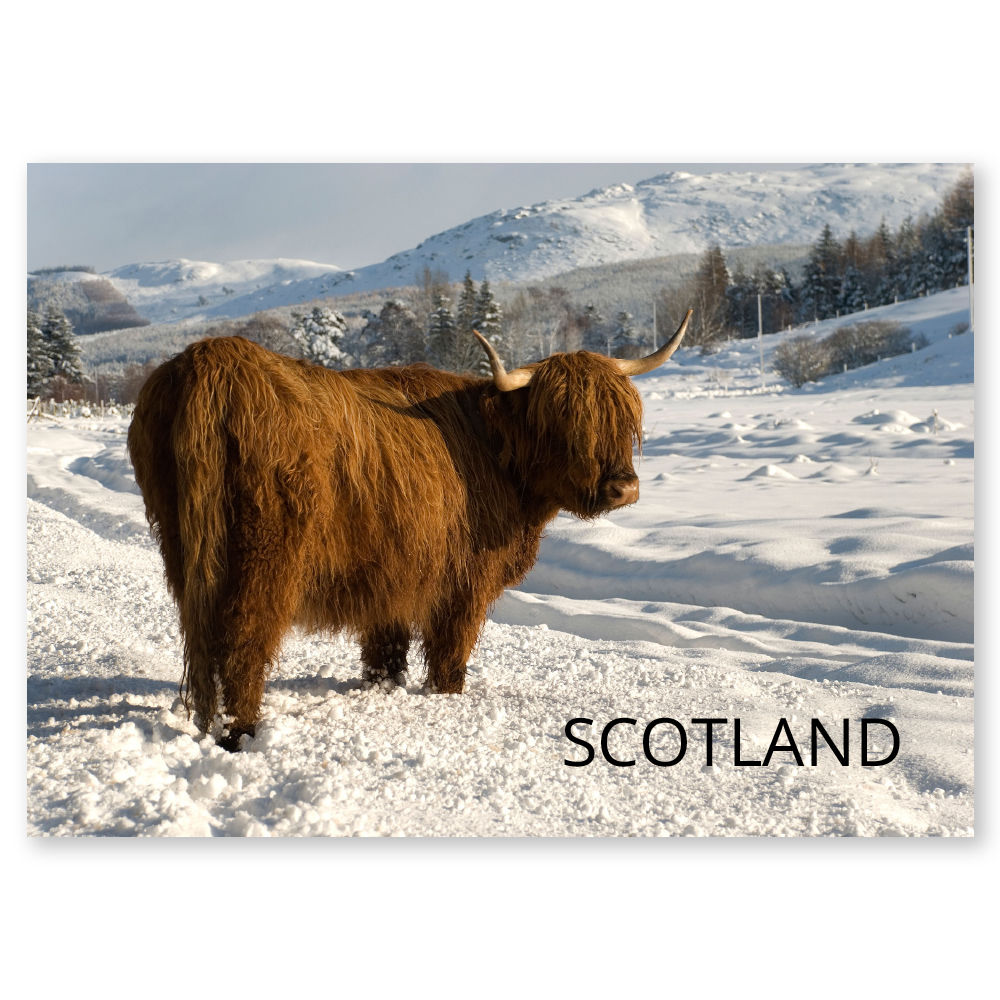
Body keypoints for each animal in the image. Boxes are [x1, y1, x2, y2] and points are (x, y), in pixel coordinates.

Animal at [127, 310, 692, 749]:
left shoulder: (393, 572)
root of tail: (214, 361)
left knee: (202, 634)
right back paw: (240, 731)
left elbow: (386, 646)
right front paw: (446, 696)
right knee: (246, 637)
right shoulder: (464, 580)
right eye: (565, 422)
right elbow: (450, 650)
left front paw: (384, 687)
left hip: (184, 549)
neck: (494, 449)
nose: (623, 487)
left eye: (621, 418)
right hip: (266, 557)